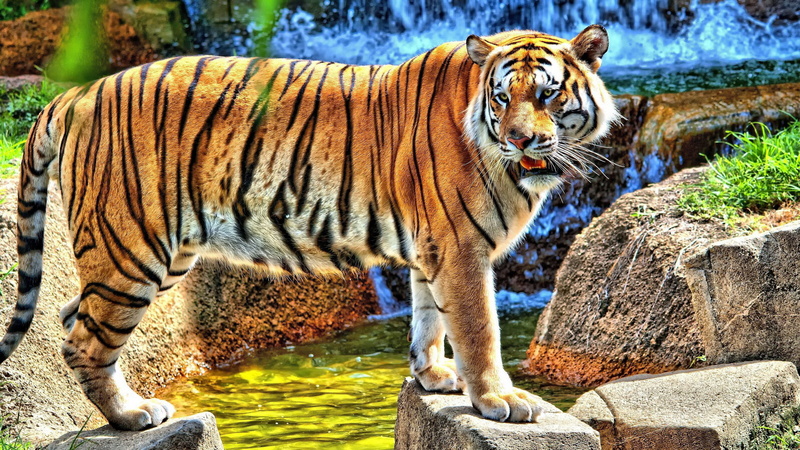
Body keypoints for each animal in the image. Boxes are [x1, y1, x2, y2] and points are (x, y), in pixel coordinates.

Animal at [0, 25, 616, 430]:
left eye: (548, 94)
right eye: (502, 97)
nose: (519, 139)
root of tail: (77, 91)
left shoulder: (433, 246)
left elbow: (428, 317)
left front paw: (434, 375)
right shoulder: (460, 247)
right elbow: (478, 328)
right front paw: (497, 400)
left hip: (153, 254)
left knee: (70, 315)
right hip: (132, 249)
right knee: (84, 341)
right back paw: (133, 415)